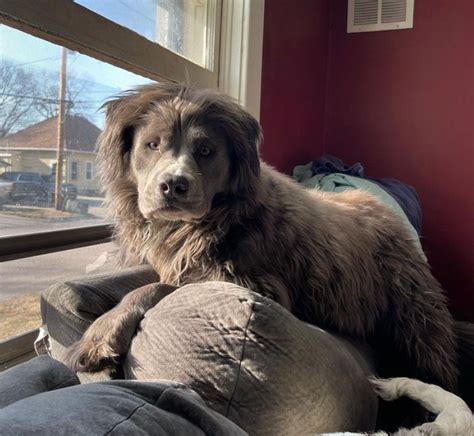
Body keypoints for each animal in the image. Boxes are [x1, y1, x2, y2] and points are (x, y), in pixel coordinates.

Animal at [65, 83, 470, 404]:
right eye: (152, 144)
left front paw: (97, 336)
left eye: (206, 151)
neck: (211, 220)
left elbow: (158, 287)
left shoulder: (259, 284)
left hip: (415, 313)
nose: (174, 185)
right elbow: (154, 278)